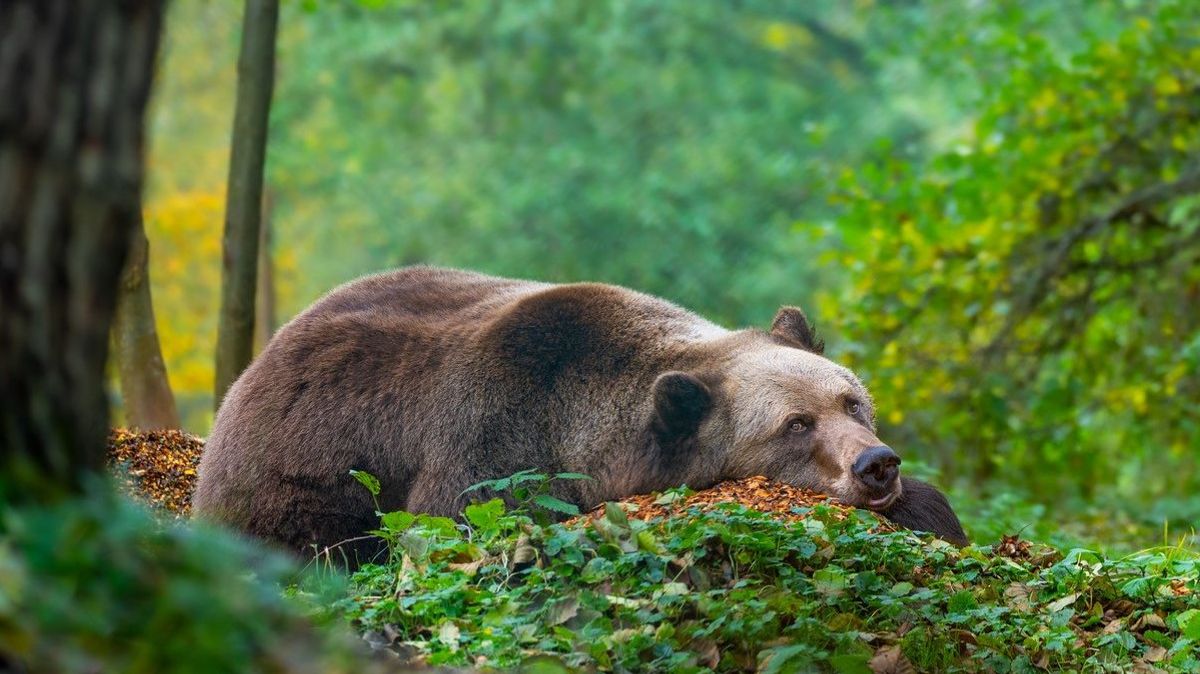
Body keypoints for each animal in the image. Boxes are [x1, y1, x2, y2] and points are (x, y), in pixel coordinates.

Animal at [194, 266, 964, 556]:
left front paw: (928, 508)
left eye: (850, 400)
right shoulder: (493, 442)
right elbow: (456, 517)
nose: (874, 465)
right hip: (305, 479)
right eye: (794, 426)